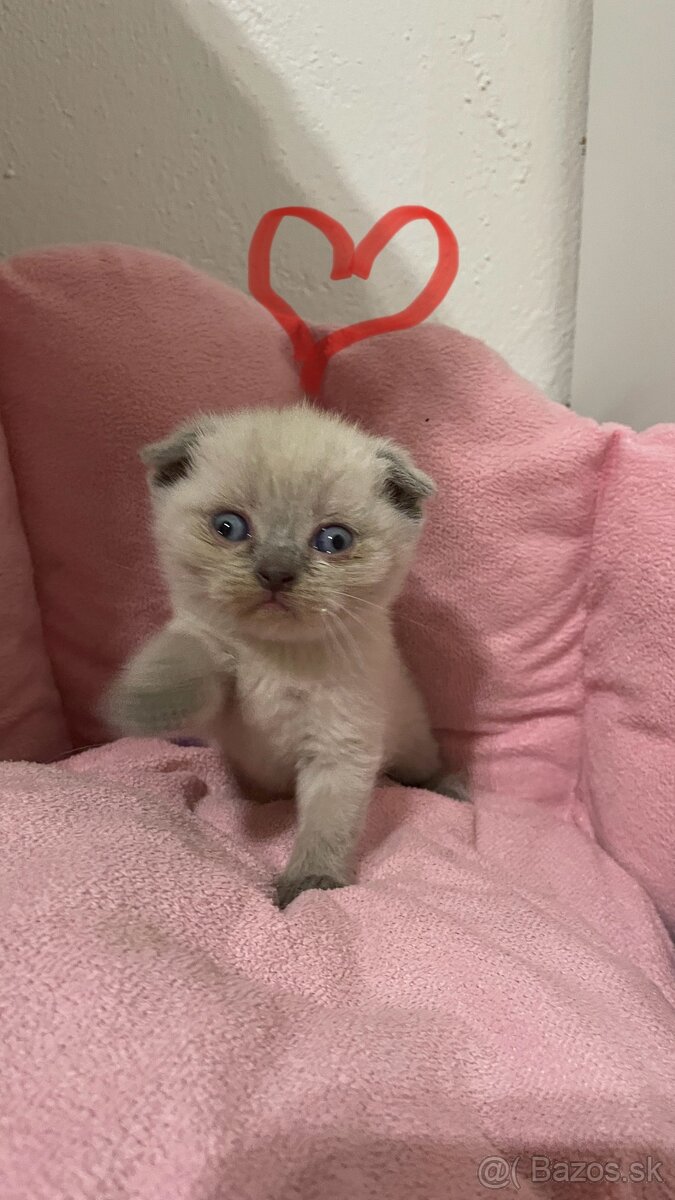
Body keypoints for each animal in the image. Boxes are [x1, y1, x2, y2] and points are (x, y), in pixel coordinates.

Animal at [105, 405, 461, 907]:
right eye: (228, 527)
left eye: (334, 540)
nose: (275, 572)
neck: (276, 658)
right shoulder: (209, 644)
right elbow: (182, 659)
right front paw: (143, 706)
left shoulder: (340, 747)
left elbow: (327, 825)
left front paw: (311, 884)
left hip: (411, 739)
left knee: (424, 767)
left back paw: (451, 788)